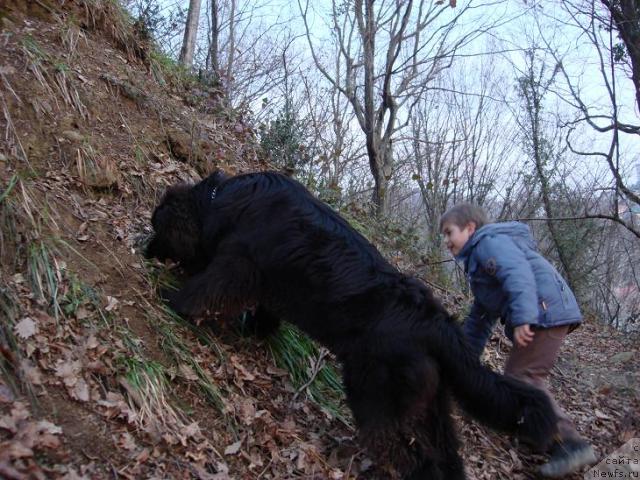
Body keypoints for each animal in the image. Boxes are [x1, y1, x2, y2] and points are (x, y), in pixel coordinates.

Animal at [148, 171, 556, 478]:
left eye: (158, 226)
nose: (144, 248)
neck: (221, 199)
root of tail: (438, 325)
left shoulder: (238, 262)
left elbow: (206, 289)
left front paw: (173, 300)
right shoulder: (267, 282)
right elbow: (265, 312)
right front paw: (254, 330)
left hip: (375, 393)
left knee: (405, 451)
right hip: (428, 405)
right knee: (444, 455)